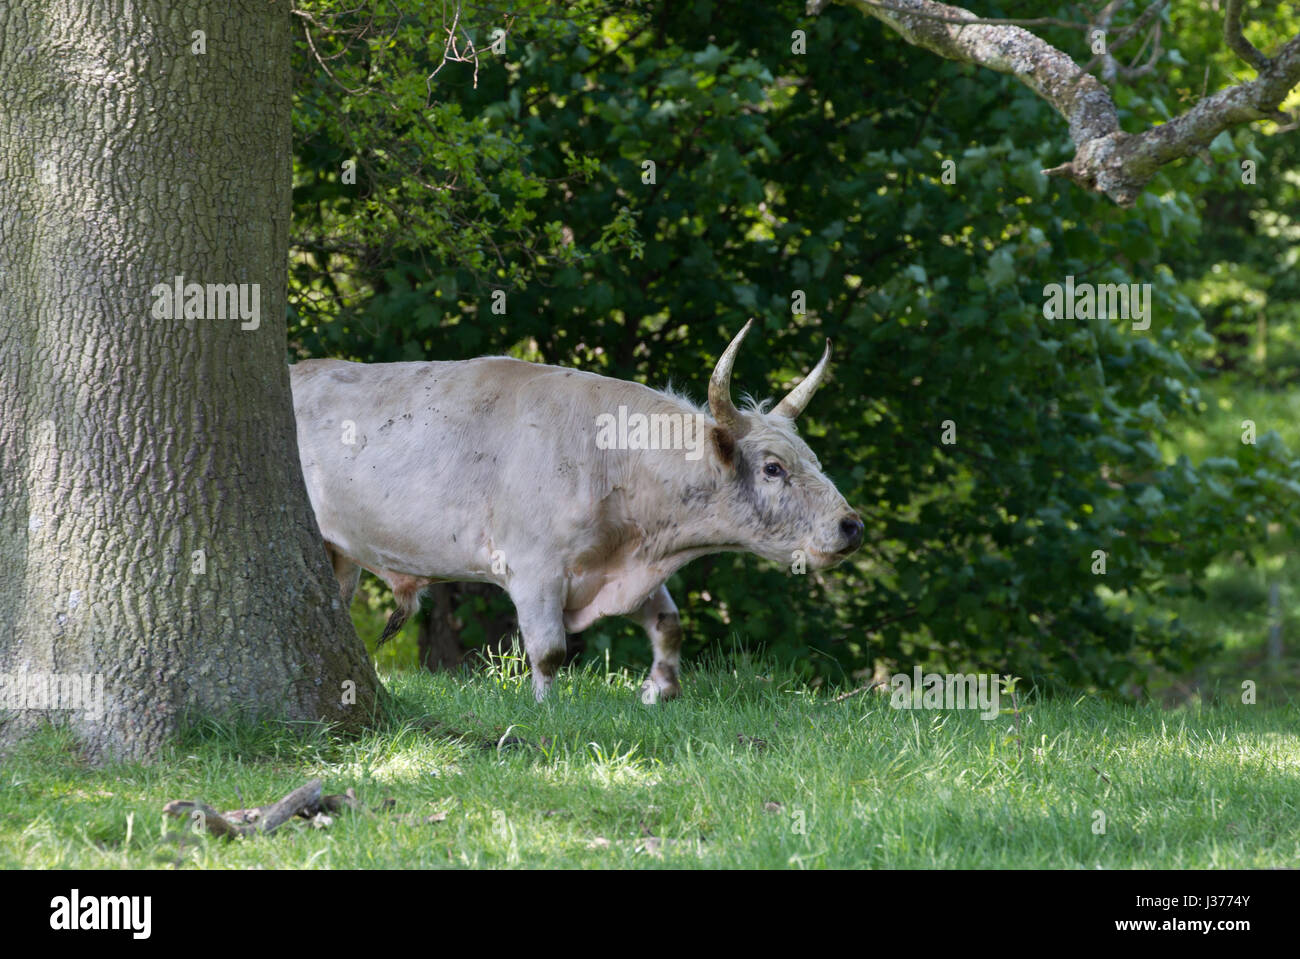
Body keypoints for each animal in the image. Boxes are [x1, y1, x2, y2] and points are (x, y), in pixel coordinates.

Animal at [290, 320, 863, 702]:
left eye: (812, 459)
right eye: (772, 468)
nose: (851, 525)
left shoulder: (626, 573)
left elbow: (669, 625)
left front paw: (659, 693)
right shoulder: (535, 570)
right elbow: (548, 652)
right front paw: (545, 711)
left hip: (339, 556)